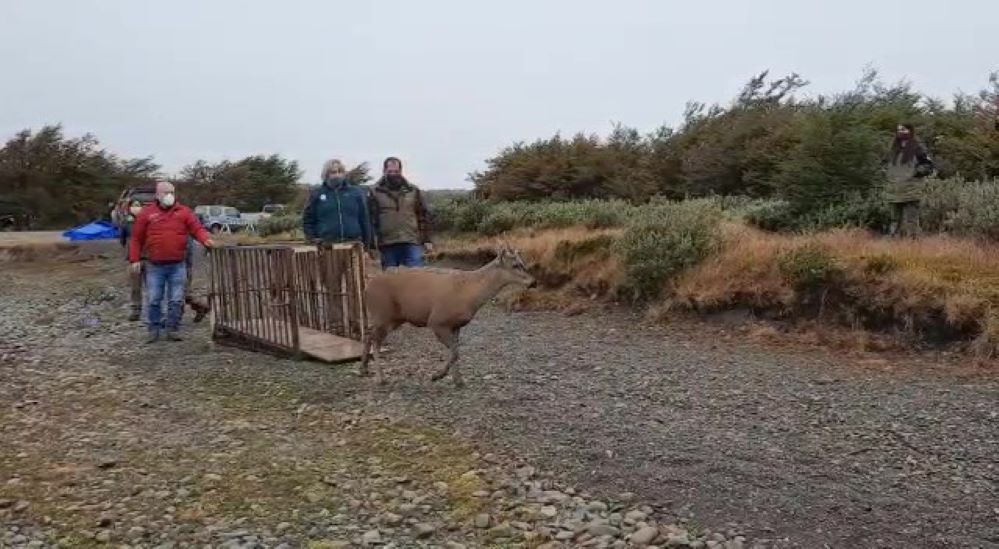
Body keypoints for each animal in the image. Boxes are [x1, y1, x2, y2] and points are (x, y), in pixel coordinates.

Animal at [362, 244, 536, 386]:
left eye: (522, 262)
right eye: (515, 265)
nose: (533, 282)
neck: (470, 293)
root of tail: (367, 287)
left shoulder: (456, 325)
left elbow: (455, 351)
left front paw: (458, 379)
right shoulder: (437, 320)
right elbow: (455, 352)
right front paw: (438, 375)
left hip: (395, 317)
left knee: (369, 334)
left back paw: (364, 368)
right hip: (383, 312)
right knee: (375, 339)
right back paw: (380, 378)